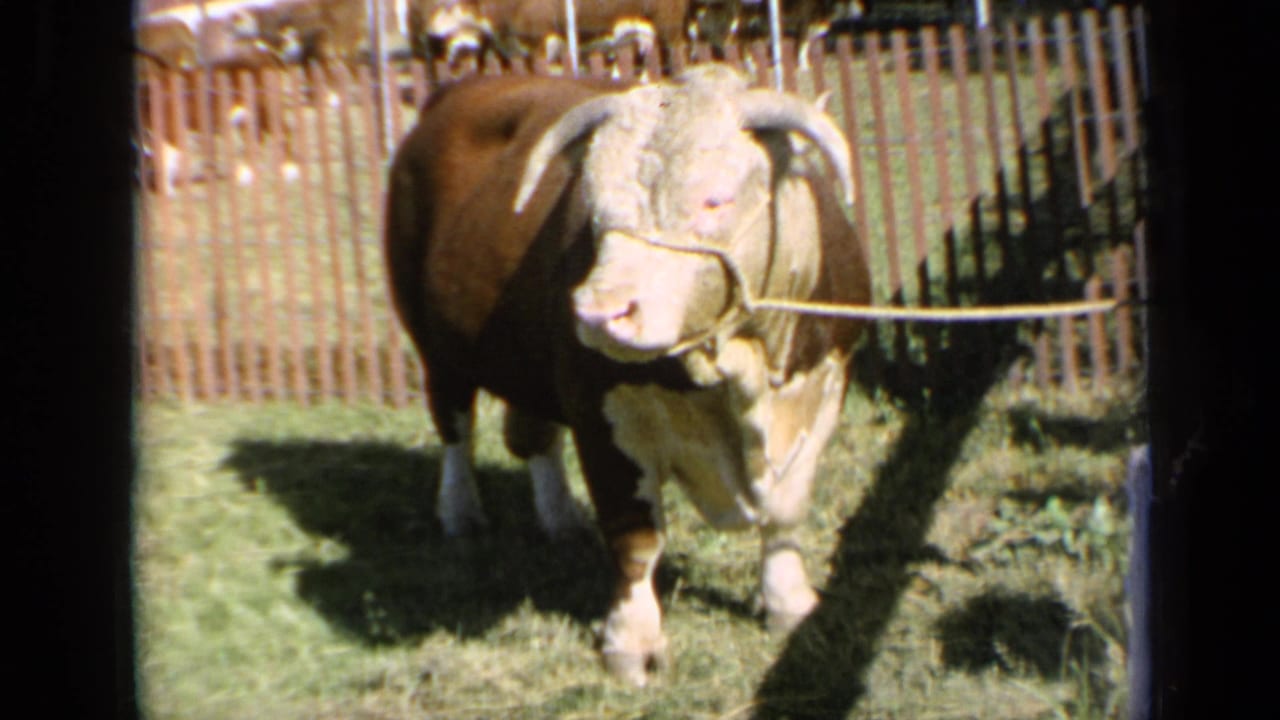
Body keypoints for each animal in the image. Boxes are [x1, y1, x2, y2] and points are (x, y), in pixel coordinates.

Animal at [383, 64, 870, 685]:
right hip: (436, 349)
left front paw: (789, 604)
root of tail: (459, 89)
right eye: (592, 208)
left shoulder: (824, 387)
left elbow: (785, 511)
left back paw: (561, 518)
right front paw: (631, 642)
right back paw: (461, 511)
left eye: (714, 200)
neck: (735, 371)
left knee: (533, 435)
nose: (597, 312)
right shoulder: (601, 416)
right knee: (455, 430)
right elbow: (636, 537)